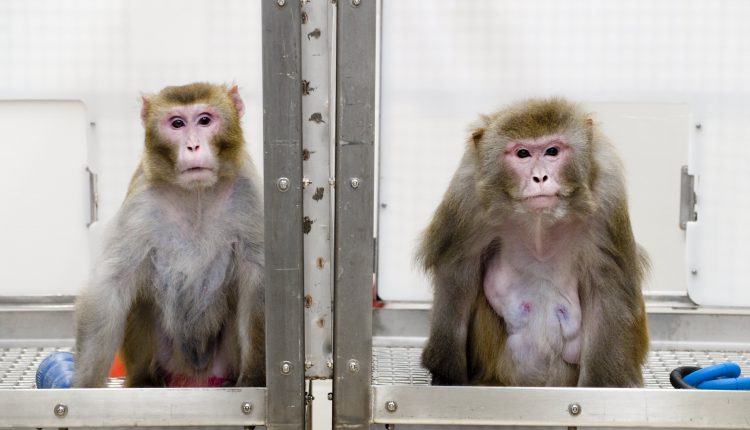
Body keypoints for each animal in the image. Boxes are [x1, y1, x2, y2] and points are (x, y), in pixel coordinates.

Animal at [74, 82, 265, 388]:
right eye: (177, 124)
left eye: (205, 120)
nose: (193, 145)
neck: (196, 194)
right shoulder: (141, 198)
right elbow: (111, 285)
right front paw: (83, 384)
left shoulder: (248, 193)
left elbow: (256, 284)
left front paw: (253, 378)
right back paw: (145, 380)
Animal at [418, 98, 649, 387]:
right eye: (523, 154)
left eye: (552, 151)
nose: (540, 178)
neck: (540, 222)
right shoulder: (466, 198)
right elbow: (456, 275)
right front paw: (446, 375)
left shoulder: (608, 197)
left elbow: (608, 289)